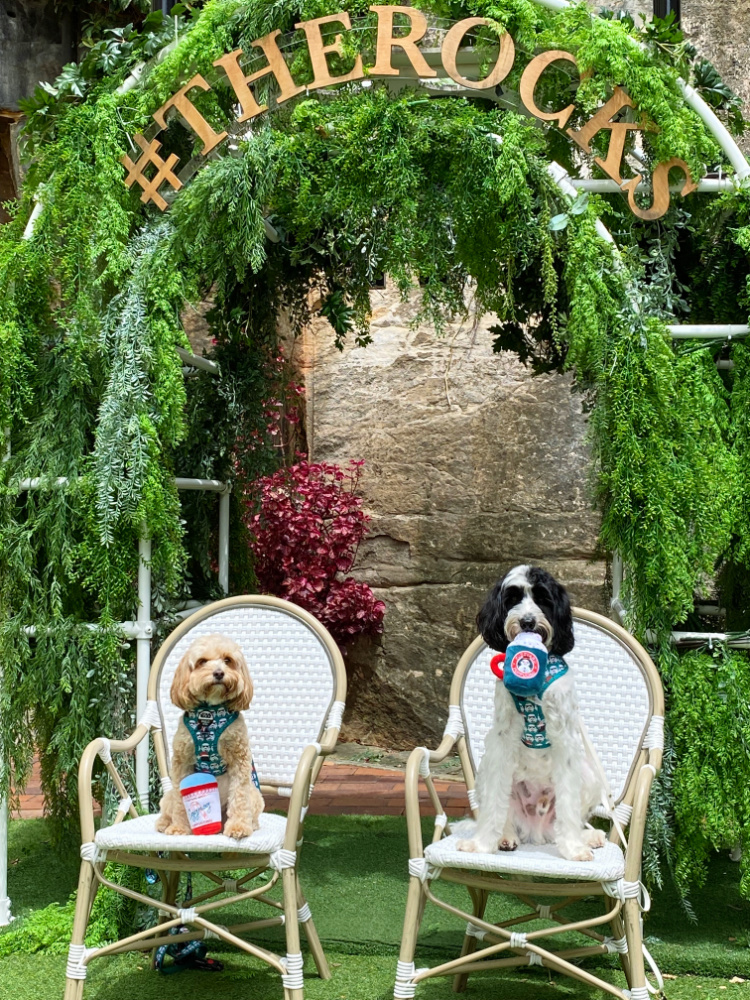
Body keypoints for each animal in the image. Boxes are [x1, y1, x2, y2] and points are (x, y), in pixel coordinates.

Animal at [458, 568, 604, 864]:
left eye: (543, 598)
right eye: (512, 598)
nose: (527, 621)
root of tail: (536, 832)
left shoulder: (565, 736)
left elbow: (569, 803)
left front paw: (573, 849)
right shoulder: (502, 739)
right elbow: (493, 802)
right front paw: (481, 845)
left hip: (589, 776)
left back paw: (587, 837)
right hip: (486, 772)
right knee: (504, 812)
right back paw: (505, 837)